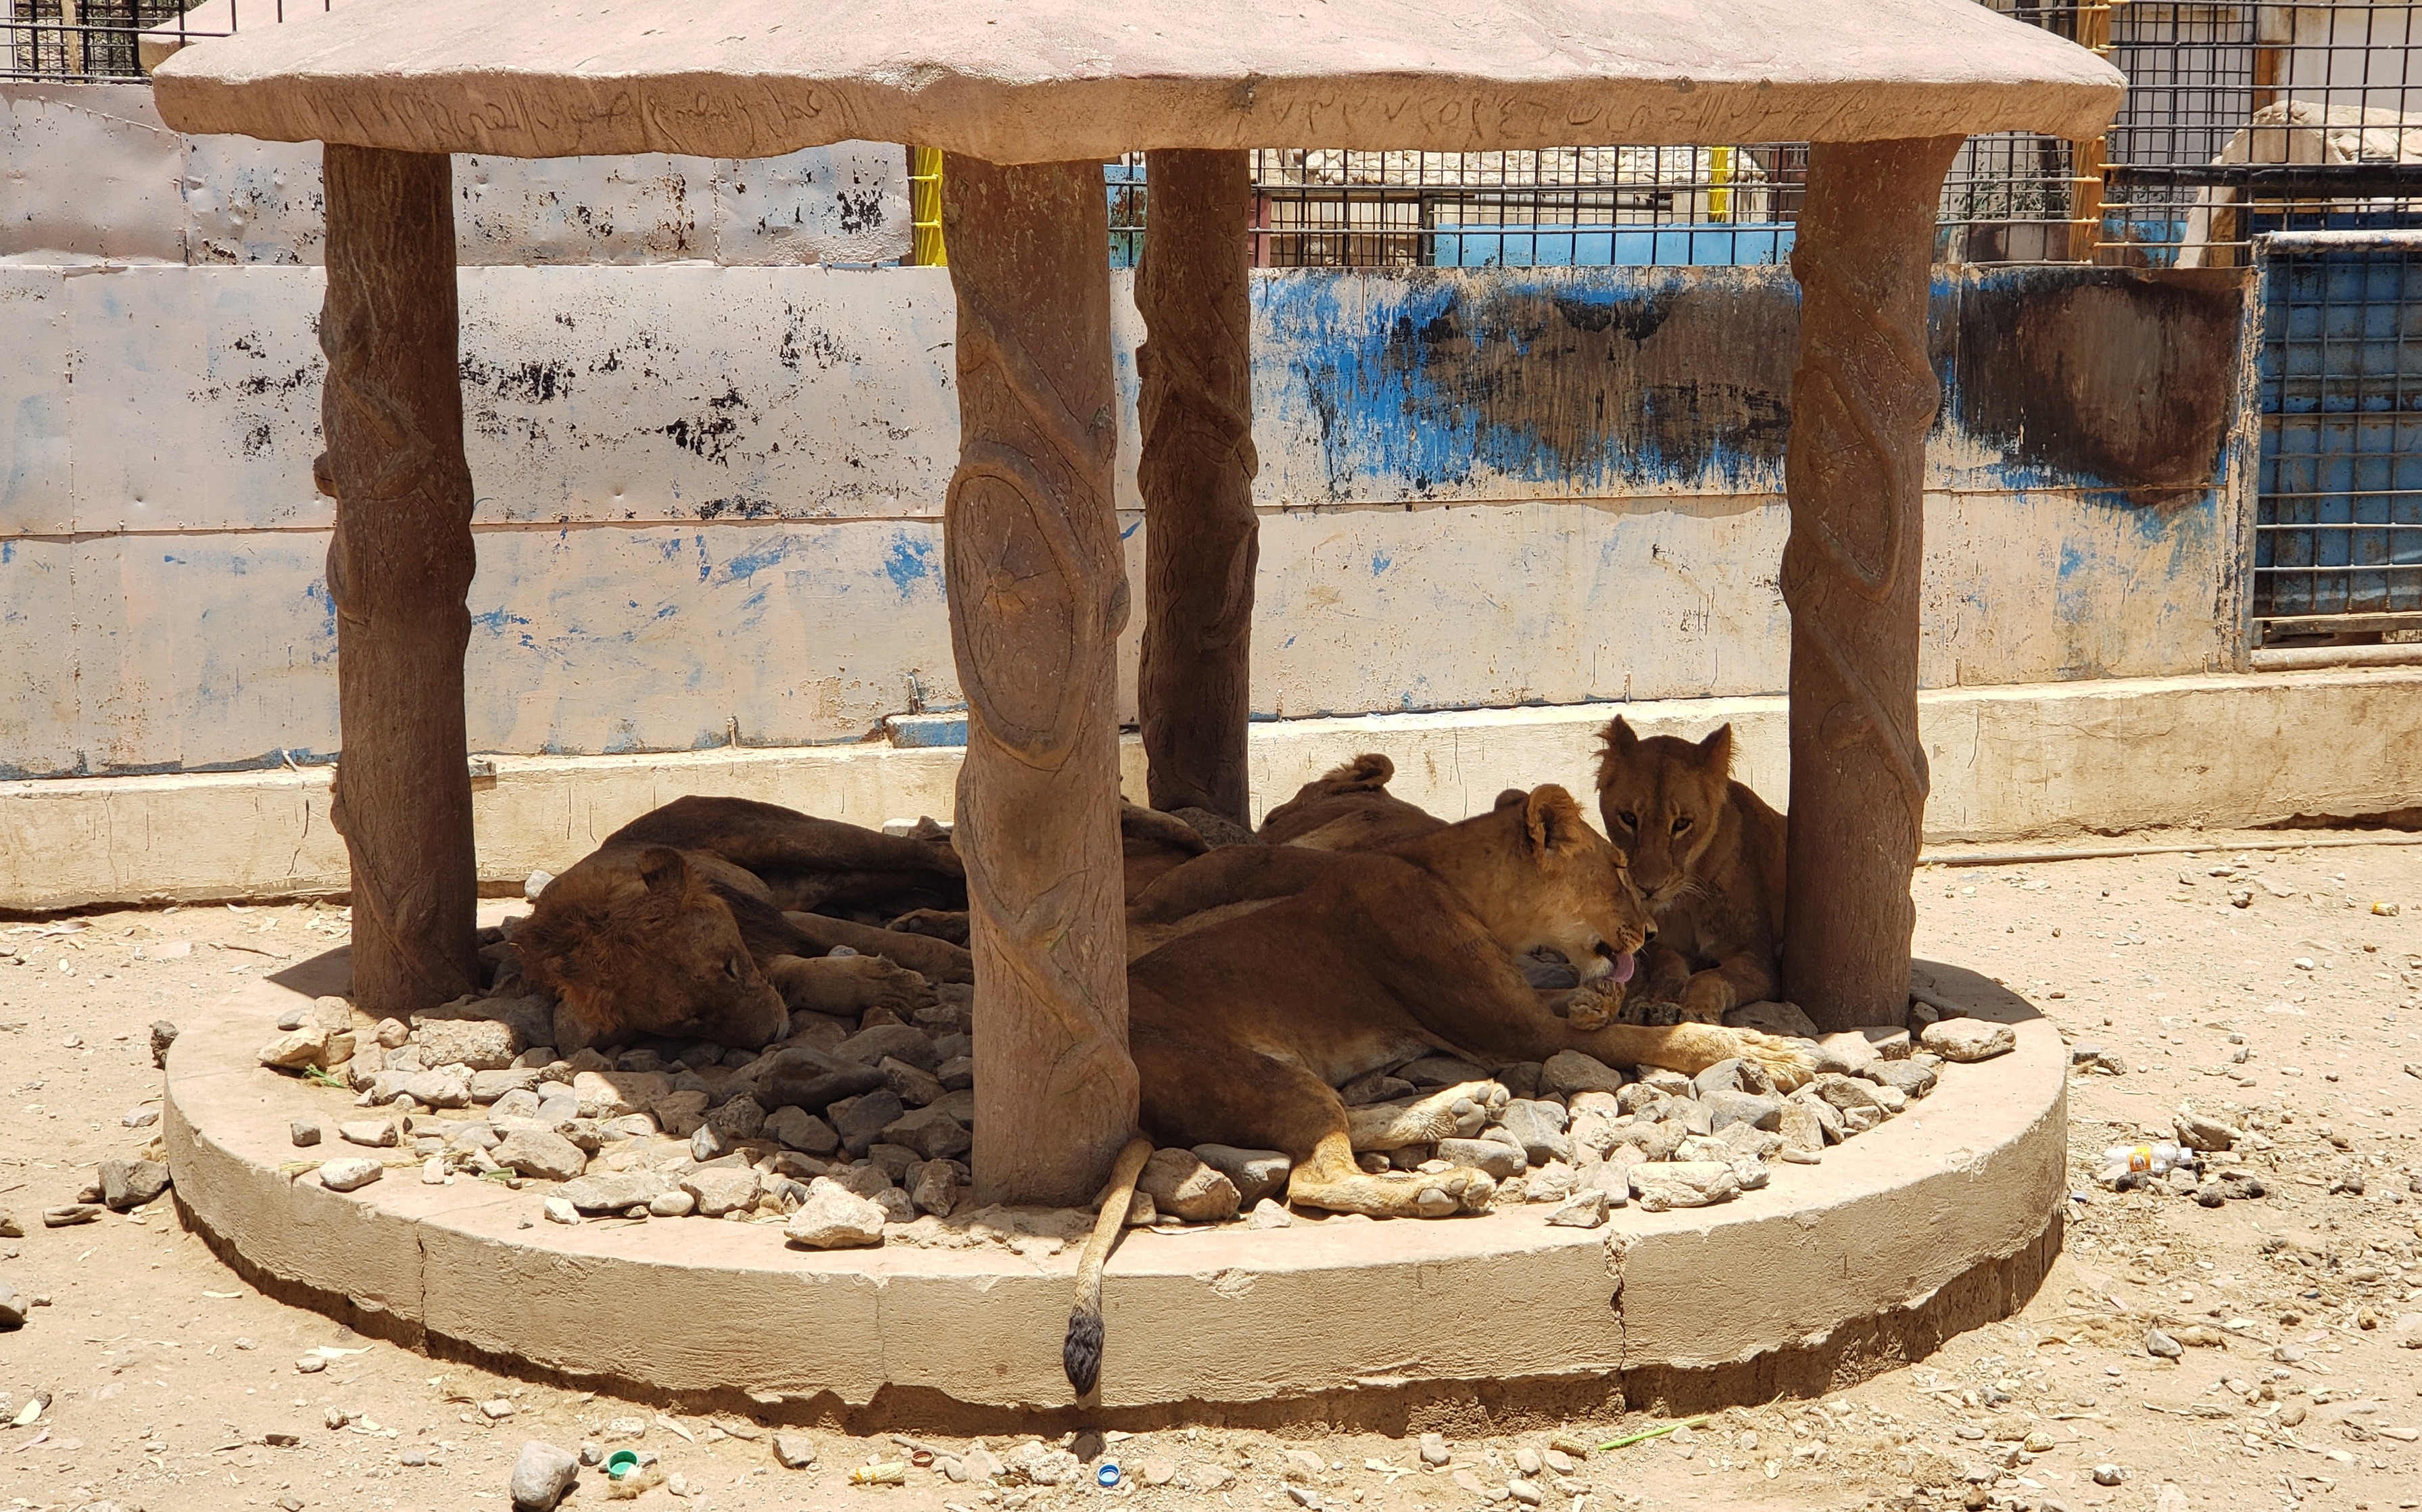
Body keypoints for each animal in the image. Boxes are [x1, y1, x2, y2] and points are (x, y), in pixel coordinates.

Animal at [1062, 783, 1811, 1393]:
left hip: (1292, 1073)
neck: (1452, 882)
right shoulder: (1516, 1030)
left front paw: (1621, 1001)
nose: (1650, 931)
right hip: (1256, 1071)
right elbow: (1663, 1040)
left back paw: (1459, 1105)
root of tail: (1130, 1087)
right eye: (1615, 872)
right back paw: (1442, 1185)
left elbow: (1611, 1012)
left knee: (1344, 1120)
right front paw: (1771, 1051)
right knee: (1316, 1174)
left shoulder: (1519, 1008)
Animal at [1593, 717, 1788, 1024]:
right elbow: (1668, 967)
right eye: (1628, 818)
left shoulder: (1758, 960)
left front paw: (1695, 1012)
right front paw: (1652, 1004)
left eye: (1682, 824)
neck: (1687, 901)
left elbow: (1709, 978)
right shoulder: (1658, 944)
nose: (1648, 889)